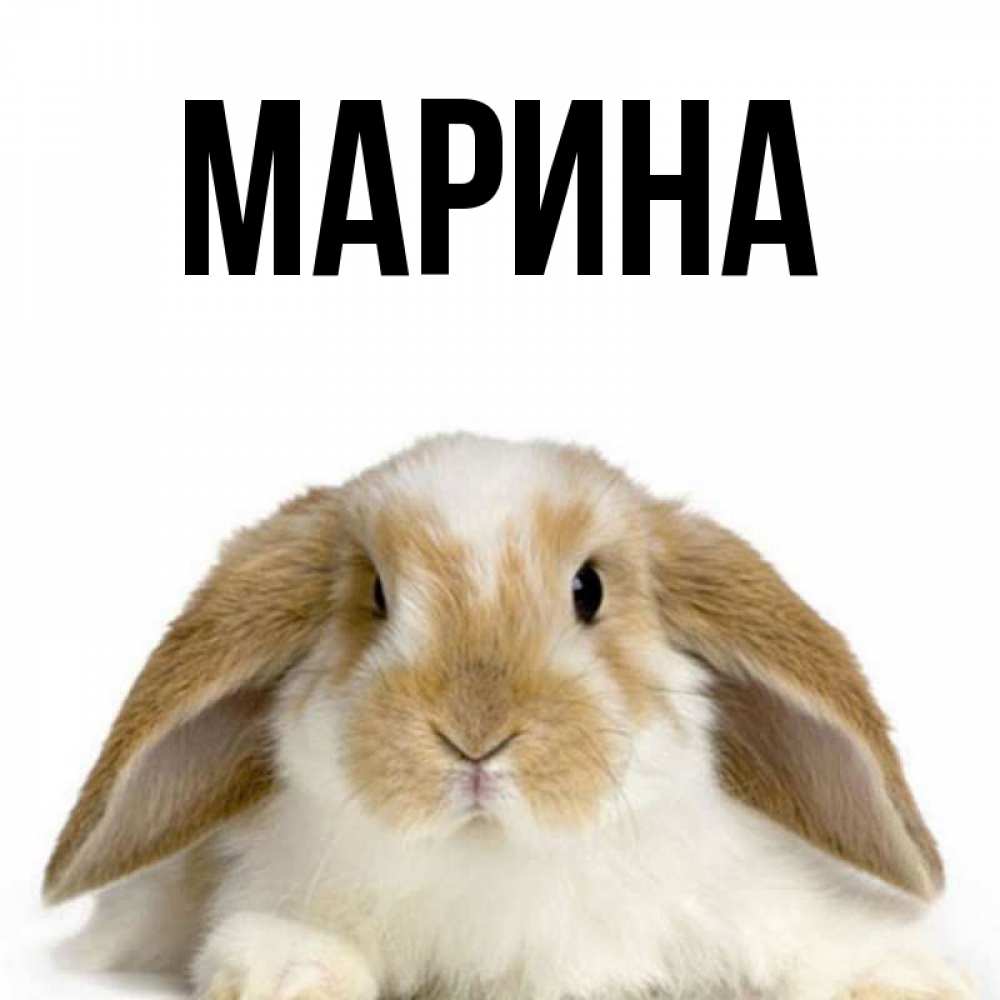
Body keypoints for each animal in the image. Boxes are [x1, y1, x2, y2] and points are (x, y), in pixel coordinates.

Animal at [45, 434, 972, 1000]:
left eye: (589, 589)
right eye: (376, 595)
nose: (475, 736)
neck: (495, 859)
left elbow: (808, 937)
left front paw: (908, 978)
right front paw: (290, 974)